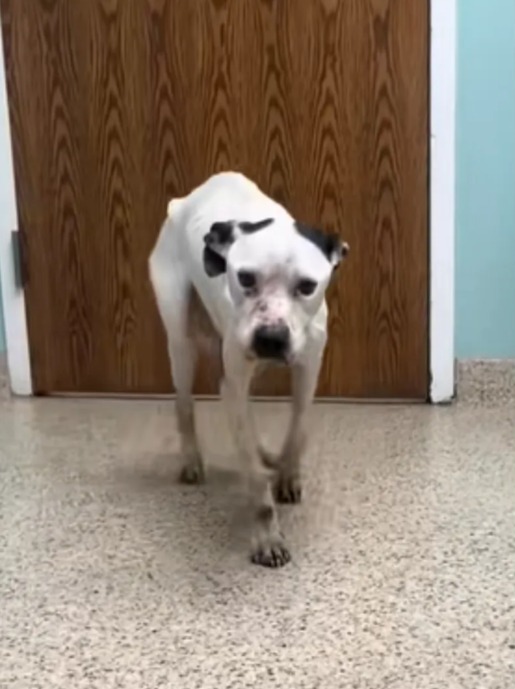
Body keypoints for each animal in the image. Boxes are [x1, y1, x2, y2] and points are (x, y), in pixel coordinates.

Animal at [149, 172, 348, 567]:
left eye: (307, 286)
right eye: (244, 278)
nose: (270, 337)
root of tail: (183, 201)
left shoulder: (308, 371)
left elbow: (298, 429)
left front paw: (287, 473)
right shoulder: (237, 380)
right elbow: (255, 481)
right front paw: (267, 538)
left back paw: (267, 453)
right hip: (181, 341)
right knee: (185, 404)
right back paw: (193, 461)